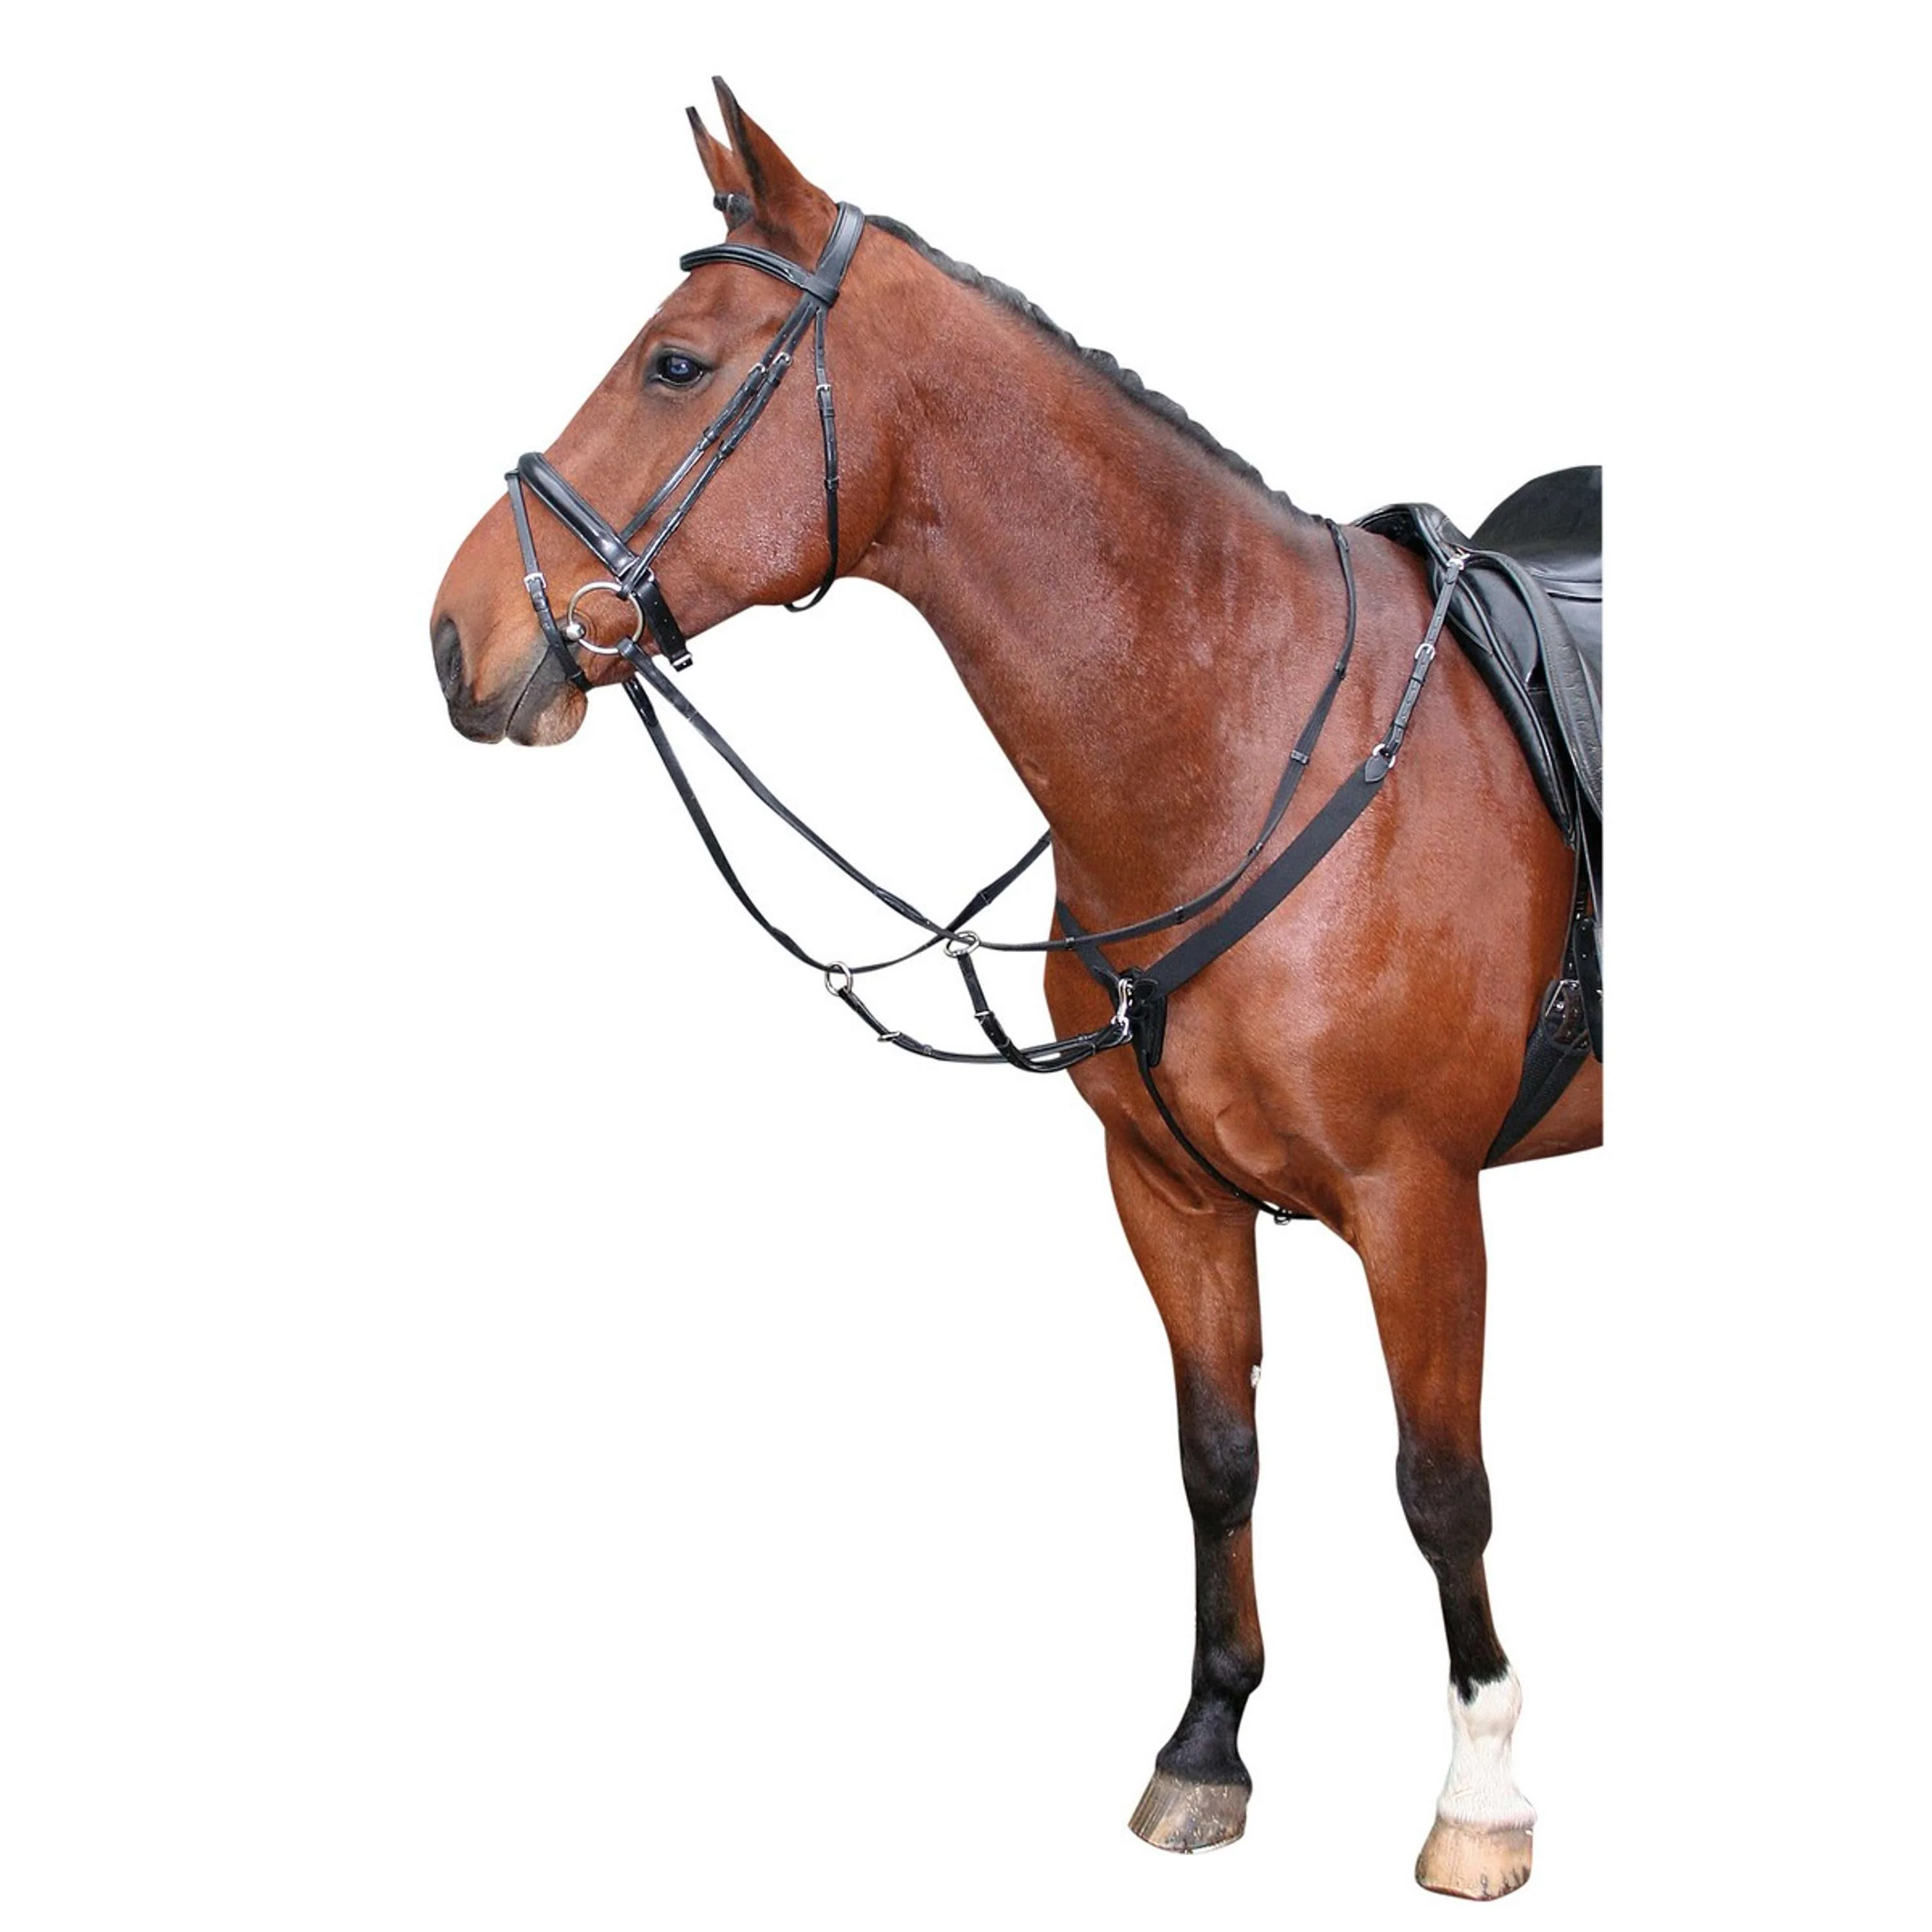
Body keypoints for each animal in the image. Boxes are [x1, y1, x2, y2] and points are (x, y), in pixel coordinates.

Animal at [430, 80, 1600, 1901]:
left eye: (675, 364)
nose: (457, 636)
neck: (1244, 734)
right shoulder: (1165, 1191)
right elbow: (1215, 1457)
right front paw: (1205, 1746)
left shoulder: (1419, 1198)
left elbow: (1439, 1483)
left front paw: (1480, 1798)